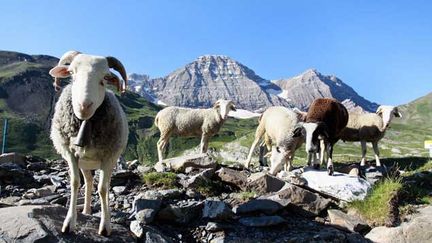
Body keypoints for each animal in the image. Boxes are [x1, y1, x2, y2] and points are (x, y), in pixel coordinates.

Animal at [48, 50, 128, 234]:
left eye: (105, 77)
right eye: (71, 73)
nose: (84, 106)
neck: (86, 123)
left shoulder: (109, 156)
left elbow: (103, 189)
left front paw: (105, 226)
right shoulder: (70, 153)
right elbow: (75, 183)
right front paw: (69, 222)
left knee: (101, 184)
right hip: (84, 163)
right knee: (89, 182)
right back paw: (86, 210)